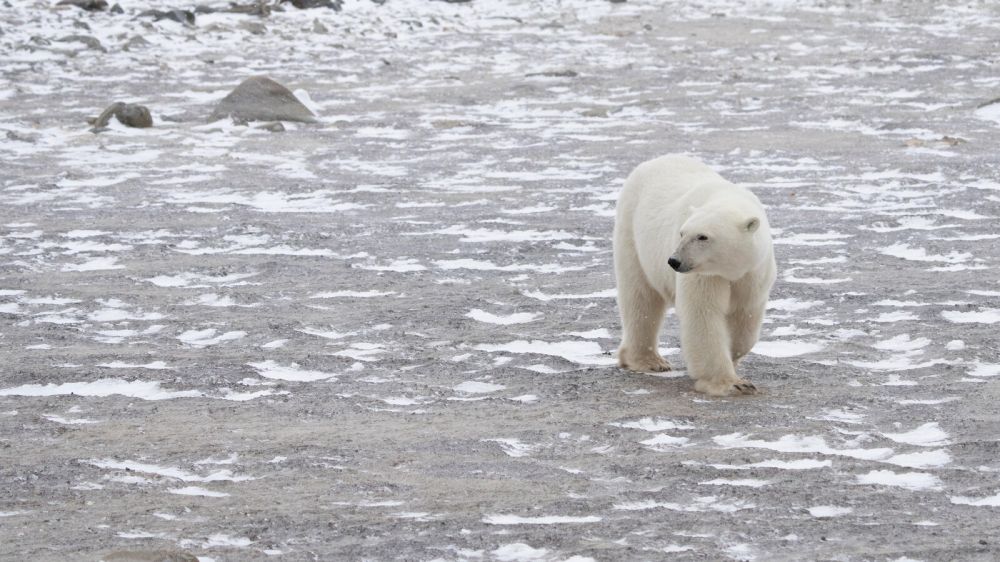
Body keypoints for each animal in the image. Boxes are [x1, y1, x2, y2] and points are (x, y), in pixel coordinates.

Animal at [612, 155, 776, 396]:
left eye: (703, 237)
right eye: (682, 233)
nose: (674, 260)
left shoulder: (753, 271)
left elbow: (745, 315)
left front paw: (733, 356)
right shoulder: (705, 275)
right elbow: (703, 313)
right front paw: (732, 384)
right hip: (633, 233)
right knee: (641, 298)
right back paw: (649, 361)